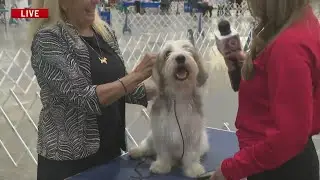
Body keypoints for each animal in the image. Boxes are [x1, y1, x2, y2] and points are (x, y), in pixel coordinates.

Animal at [129, 39, 209, 177]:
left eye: (187, 49)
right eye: (167, 53)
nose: (180, 57)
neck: (178, 95)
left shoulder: (193, 133)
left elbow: (192, 154)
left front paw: (193, 169)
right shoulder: (161, 131)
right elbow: (163, 152)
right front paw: (161, 166)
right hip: (151, 137)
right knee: (147, 147)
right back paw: (137, 151)